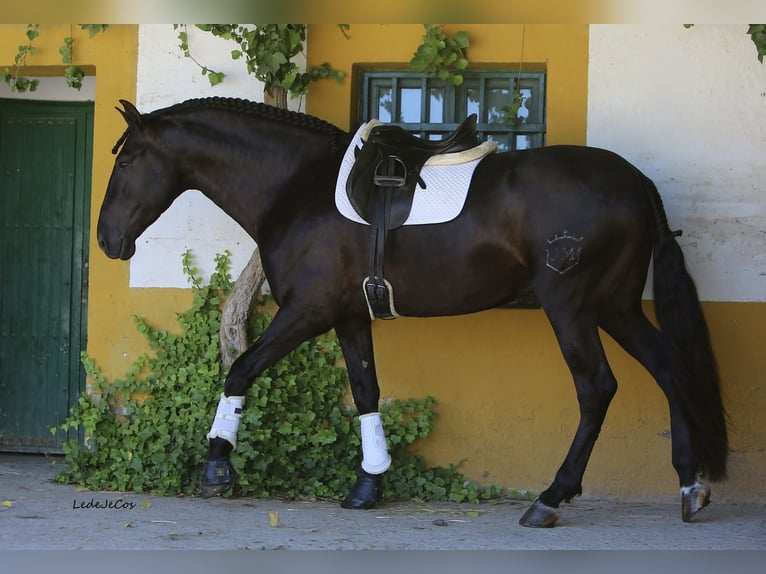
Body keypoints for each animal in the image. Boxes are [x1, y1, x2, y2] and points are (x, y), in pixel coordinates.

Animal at [97, 97, 728, 528]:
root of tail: (636, 180)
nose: (107, 241)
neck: (297, 188)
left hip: (571, 308)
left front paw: (217, 465)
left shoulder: (306, 311)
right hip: (615, 307)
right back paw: (689, 485)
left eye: (126, 163)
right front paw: (368, 486)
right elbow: (366, 391)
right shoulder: (349, 316)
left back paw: (552, 497)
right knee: (669, 369)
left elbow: (241, 368)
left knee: (597, 387)